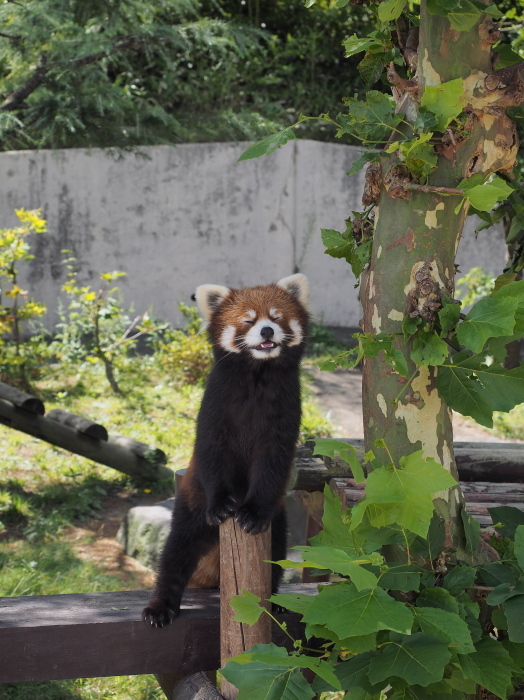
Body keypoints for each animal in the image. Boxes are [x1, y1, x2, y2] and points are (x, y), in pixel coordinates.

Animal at [141, 274, 310, 628]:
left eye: (276, 318)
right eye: (248, 320)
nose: (267, 332)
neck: (258, 376)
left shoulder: (286, 413)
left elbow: (273, 463)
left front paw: (252, 512)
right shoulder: (215, 405)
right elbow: (211, 451)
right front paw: (222, 504)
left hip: (279, 518)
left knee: (276, 550)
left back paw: (274, 602)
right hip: (192, 504)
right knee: (177, 551)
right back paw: (160, 606)